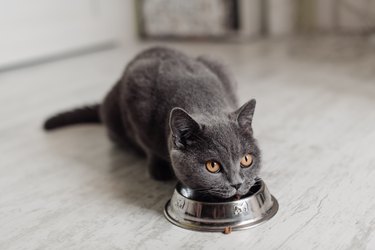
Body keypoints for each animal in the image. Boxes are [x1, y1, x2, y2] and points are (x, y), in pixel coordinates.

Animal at [44, 47, 262, 199]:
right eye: (213, 166)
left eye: (246, 160)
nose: (237, 184)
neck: (202, 99)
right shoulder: (136, 92)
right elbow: (147, 146)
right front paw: (158, 169)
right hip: (112, 110)